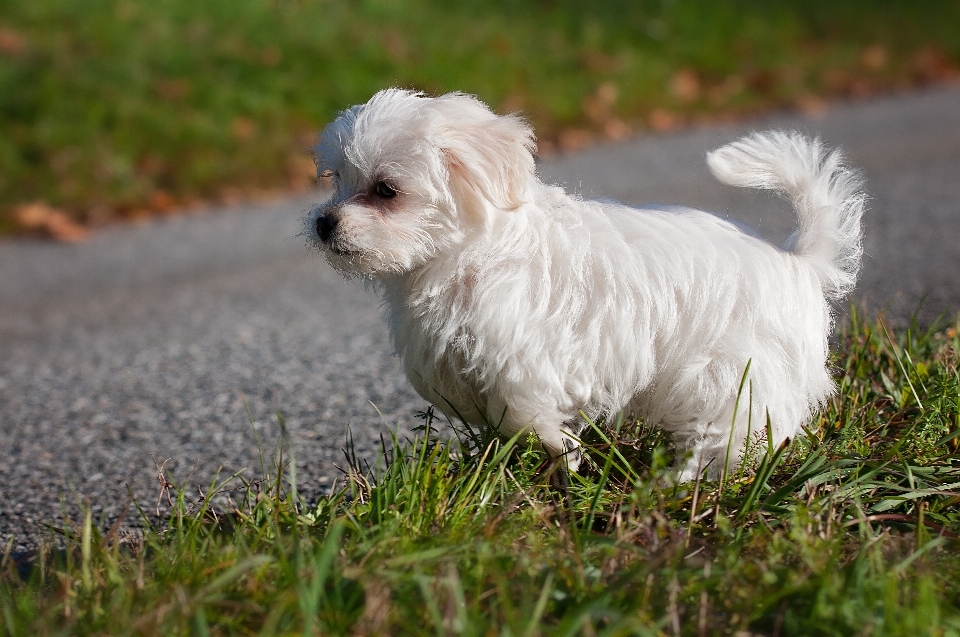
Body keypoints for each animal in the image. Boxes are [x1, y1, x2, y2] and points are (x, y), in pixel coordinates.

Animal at [304, 88, 868, 476]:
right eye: (336, 181)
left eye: (386, 190)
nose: (324, 223)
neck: (467, 255)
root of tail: (796, 260)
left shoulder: (523, 359)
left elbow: (526, 414)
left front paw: (563, 455)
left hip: (731, 372)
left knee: (736, 432)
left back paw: (683, 481)